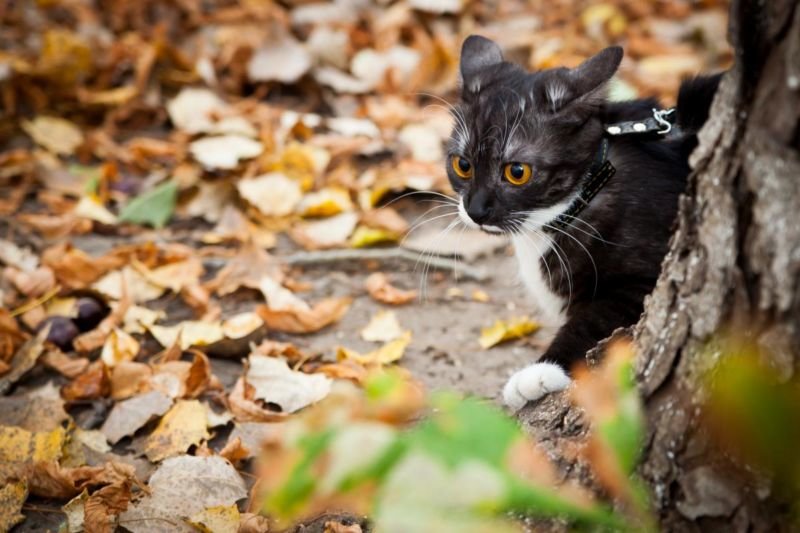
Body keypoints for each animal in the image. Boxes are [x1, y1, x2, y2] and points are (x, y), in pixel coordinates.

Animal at [446, 35, 720, 410]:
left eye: (517, 172)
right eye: (462, 165)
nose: (476, 209)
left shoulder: (651, 273)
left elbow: (595, 320)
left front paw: (541, 371)